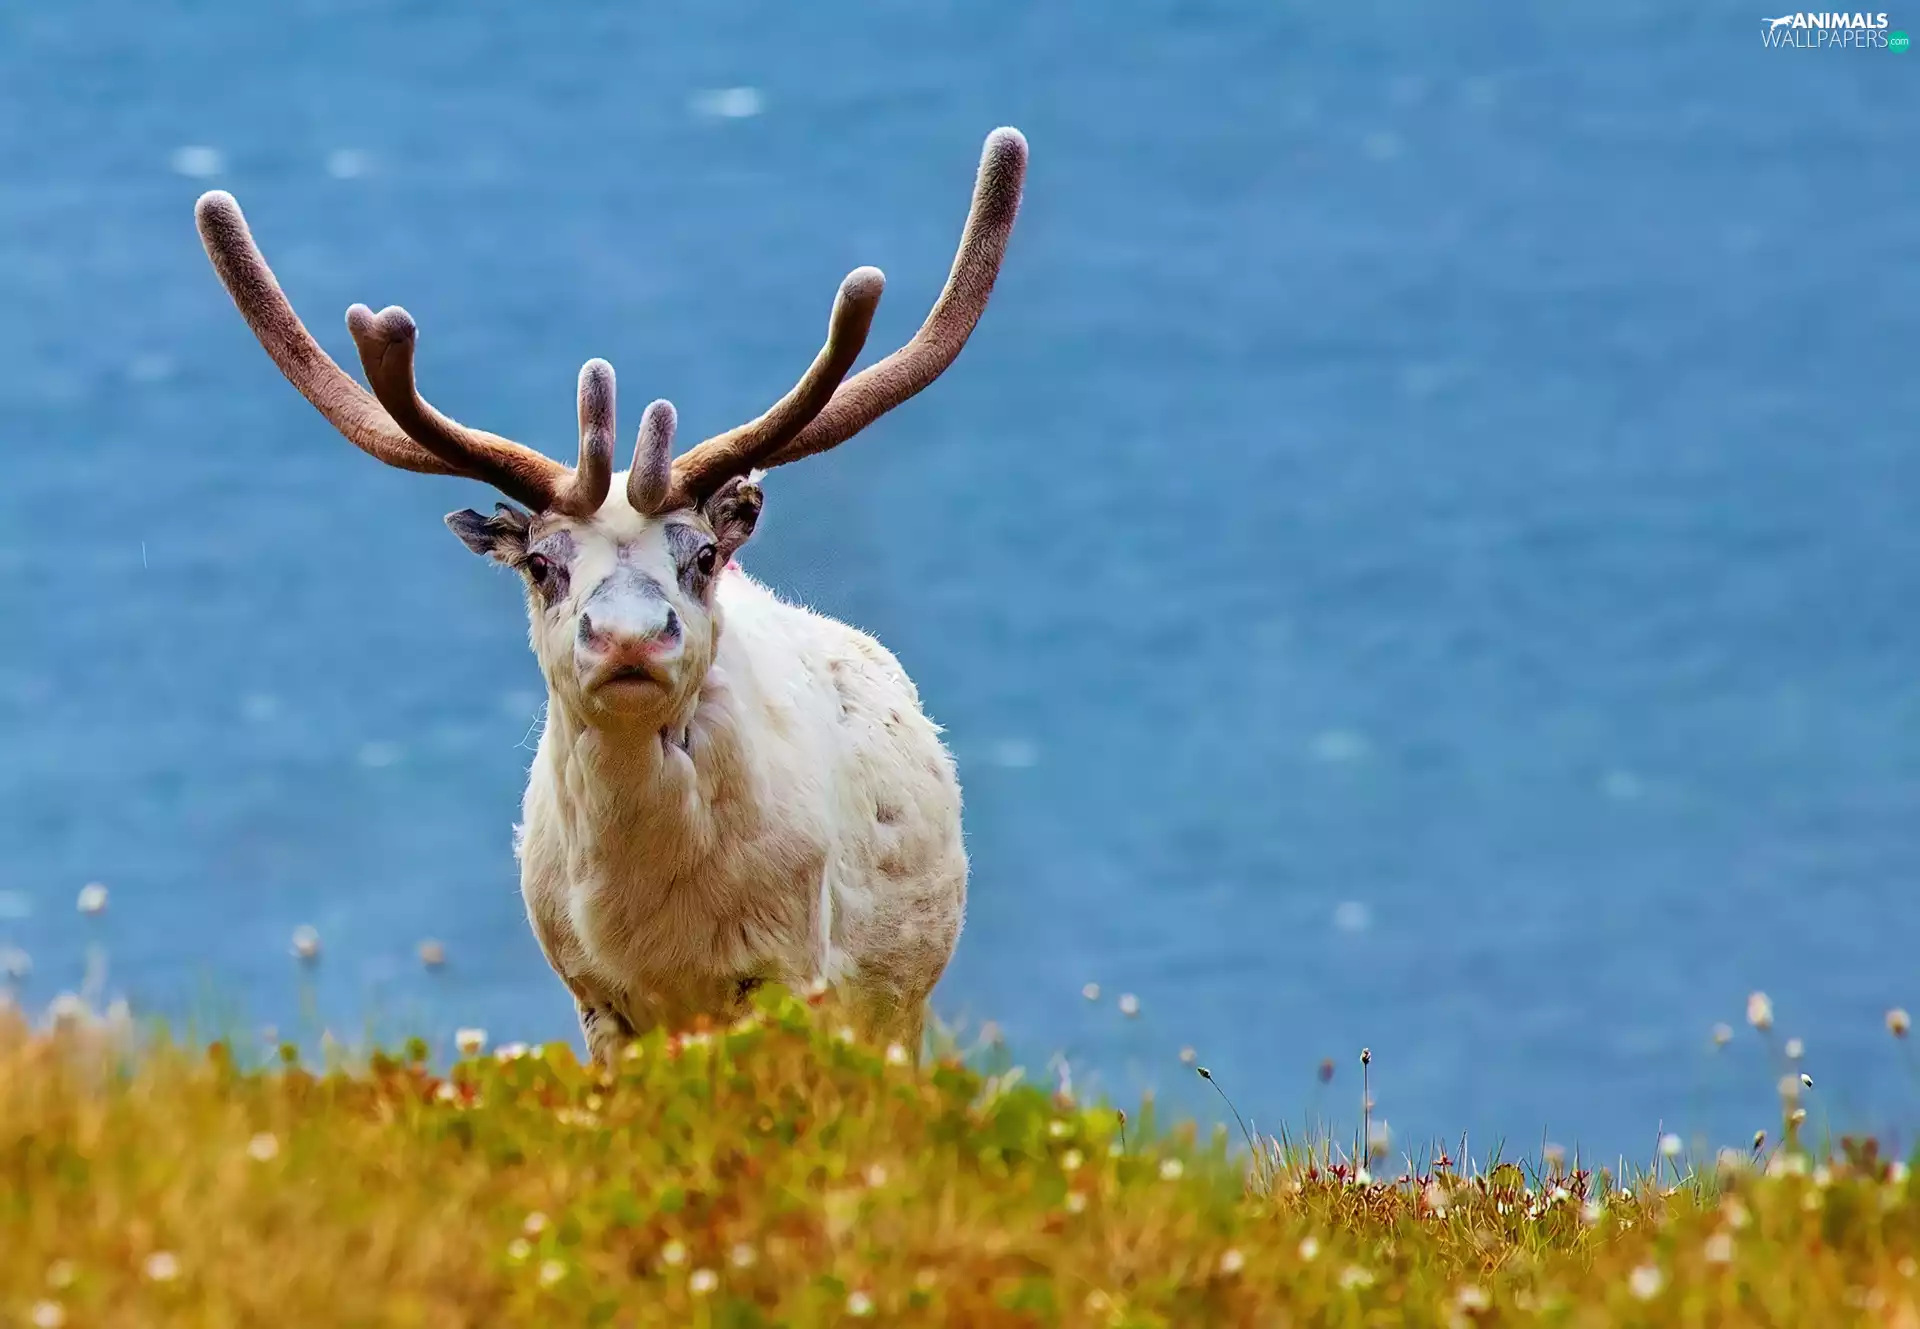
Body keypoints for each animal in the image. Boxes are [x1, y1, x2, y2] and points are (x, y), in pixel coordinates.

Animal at [193, 128, 1026, 1064]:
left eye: (703, 554)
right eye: (539, 563)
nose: (629, 637)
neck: (656, 926)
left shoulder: (792, 971)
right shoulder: (594, 994)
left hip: (897, 1005)